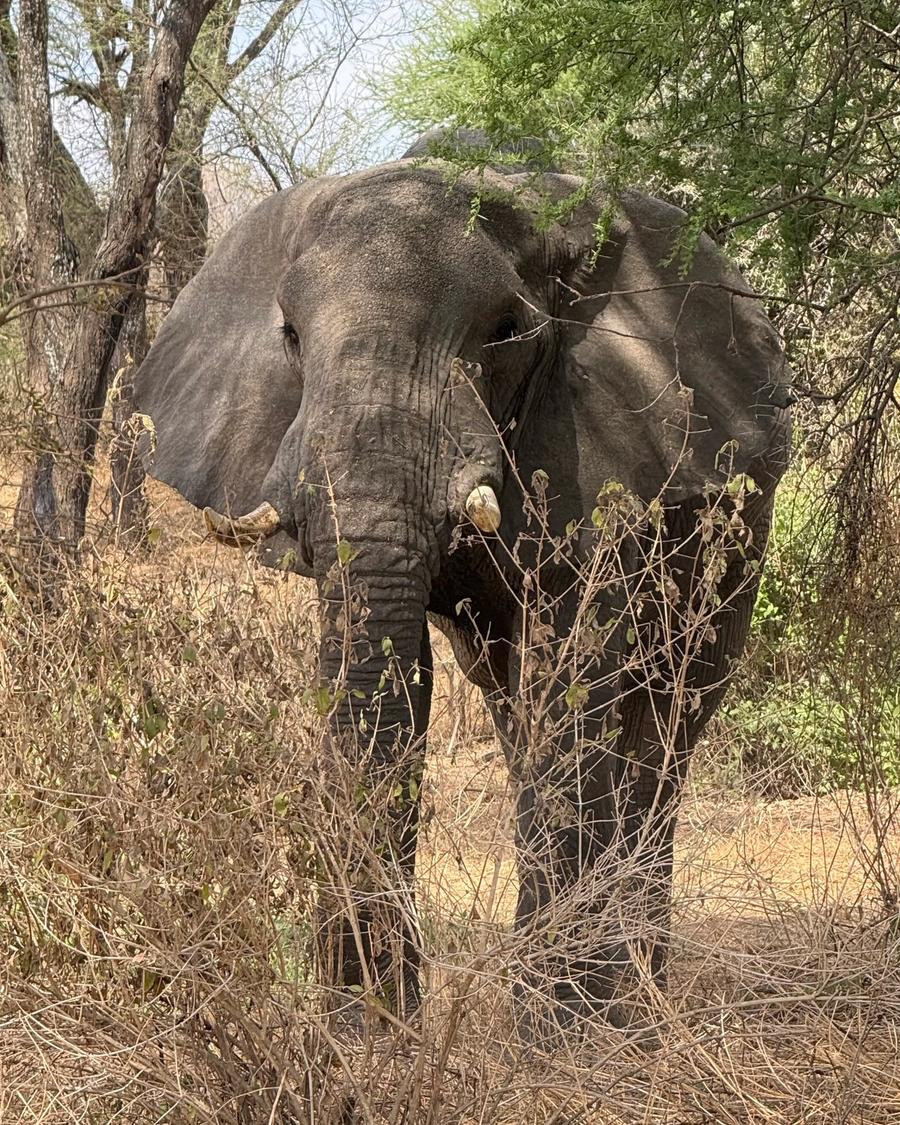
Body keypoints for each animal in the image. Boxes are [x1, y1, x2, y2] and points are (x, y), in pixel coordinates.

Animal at [134, 131, 791, 1035]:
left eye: (507, 330)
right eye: (291, 336)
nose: (359, 1025)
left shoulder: (606, 457)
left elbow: (573, 676)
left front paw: (555, 1041)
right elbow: (396, 679)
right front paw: (372, 1041)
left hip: (742, 531)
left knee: (668, 722)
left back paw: (637, 1015)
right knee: (520, 715)